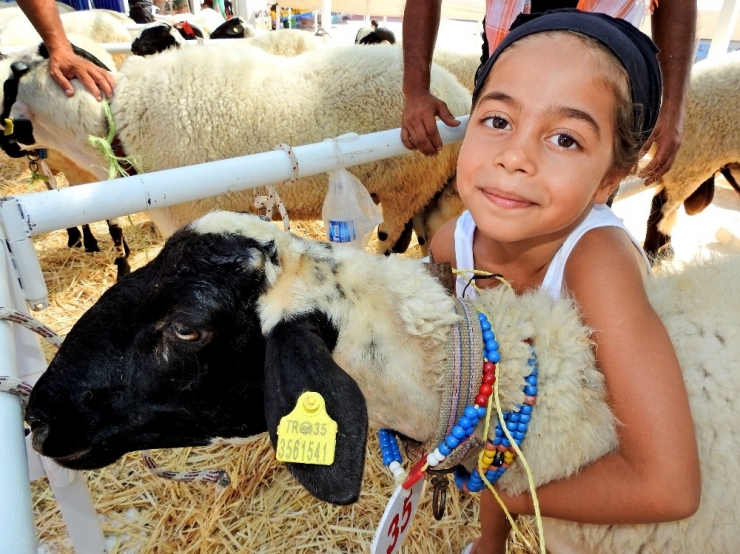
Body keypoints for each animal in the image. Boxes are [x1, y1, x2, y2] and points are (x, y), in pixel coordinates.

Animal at [0, 42, 472, 253]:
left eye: (6, 86)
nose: (7, 145)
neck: (118, 122)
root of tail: (456, 96)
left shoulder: (193, 214)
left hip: (406, 188)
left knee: (396, 239)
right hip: (429, 191)